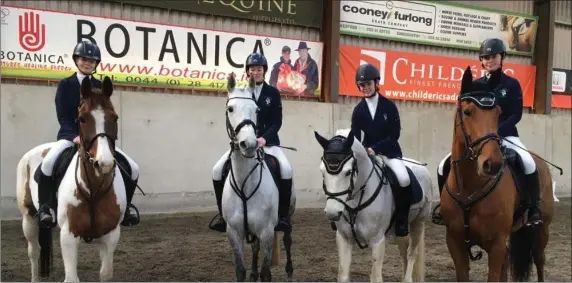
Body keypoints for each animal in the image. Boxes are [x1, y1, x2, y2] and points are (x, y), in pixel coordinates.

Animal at [15, 76, 127, 282]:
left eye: (115, 118)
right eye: (82, 118)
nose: (104, 163)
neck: (93, 188)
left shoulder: (111, 235)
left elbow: (106, 274)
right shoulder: (68, 236)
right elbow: (72, 278)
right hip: (29, 217)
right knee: (33, 252)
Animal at [221, 72, 298, 282]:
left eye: (256, 109)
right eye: (230, 109)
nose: (249, 144)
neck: (245, 183)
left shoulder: (267, 231)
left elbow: (266, 273)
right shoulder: (234, 232)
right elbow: (240, 270)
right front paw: (251, 272)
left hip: (288, 213)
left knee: (287, 239)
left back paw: (289, 270)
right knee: (255, 246)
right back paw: (253, 272)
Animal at [312, 130, 434, 282]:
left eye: (348, 172)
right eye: (322, 172)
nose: (332, 213)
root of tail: (421, 167)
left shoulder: (377, 242)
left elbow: (375, 277)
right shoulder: (343, 239)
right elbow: (343, 276)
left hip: (419, 222)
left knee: (412, 253)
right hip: (398, 229)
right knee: (404, 253)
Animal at [438, 66, 556, 282]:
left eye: (498, 113)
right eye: (467, 111)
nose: (492, 164)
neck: (469, 188)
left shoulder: (496, 243)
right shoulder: (455, 242)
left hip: (541, 229)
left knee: (539, 259)